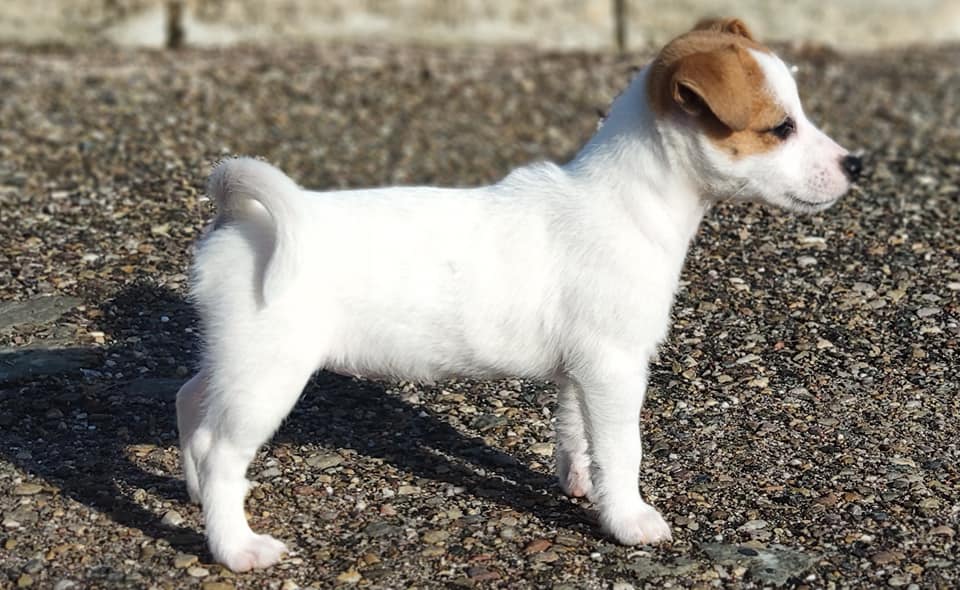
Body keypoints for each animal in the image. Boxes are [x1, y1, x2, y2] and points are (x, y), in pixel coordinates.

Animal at [178, 18, 864, 572]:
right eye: (780, 128)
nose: (856, 164)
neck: (628, 202)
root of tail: (245, 219)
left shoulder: (581, 373)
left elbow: (576, 434)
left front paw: (581, 485)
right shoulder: (615, 368)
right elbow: (624, 449)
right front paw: (629, 518)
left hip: (235, 362)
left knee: (191, 404)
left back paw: (193, 494)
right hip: (268, 378)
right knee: (222, 452)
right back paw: (235, 546)